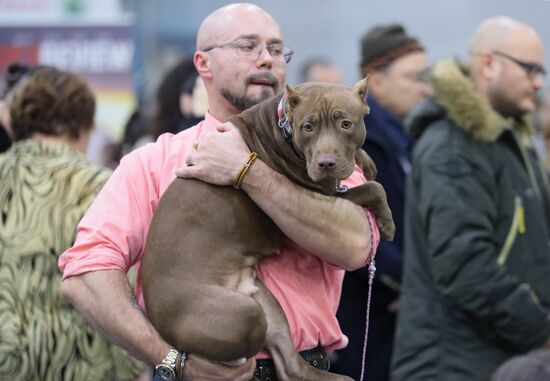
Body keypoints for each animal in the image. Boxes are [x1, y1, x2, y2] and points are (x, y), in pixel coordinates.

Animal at [142, 78, 396, 380]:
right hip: (246, 314)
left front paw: (365, 160)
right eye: (308, 127)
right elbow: (373, 188)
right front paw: (387, 222)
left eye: (346, 123)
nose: (326, 163)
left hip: (266, 303)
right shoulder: (323, 193)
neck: (283, 124)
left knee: (291, 366)